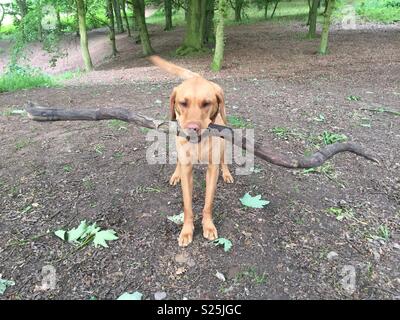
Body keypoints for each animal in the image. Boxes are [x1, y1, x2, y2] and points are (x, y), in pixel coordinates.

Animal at [148, 55, 233, 246]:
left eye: (207, 103)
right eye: (183, 103)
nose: (192, 128)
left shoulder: (212, 168)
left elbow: (208, 203)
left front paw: (208, 226)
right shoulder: (187, 169)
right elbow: (187, 205)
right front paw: (186, 231)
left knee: (224, 159)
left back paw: (226, 173)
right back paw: (175, 174)